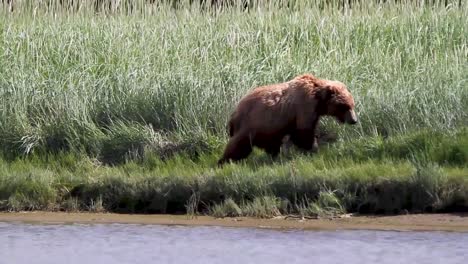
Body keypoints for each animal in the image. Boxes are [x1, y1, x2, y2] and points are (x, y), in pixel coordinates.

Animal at [218, 74, 356, 165]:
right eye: (345, 106)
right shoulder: (304, 106)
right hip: (252, 123)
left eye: (352, 104)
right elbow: (304, 132)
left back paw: (273, 156)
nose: (354, 120)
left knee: (271, 144)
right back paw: (224, 161)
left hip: (267, 129)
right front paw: (313, 148)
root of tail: (235, 112)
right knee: (239, 145)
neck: (318, 99)